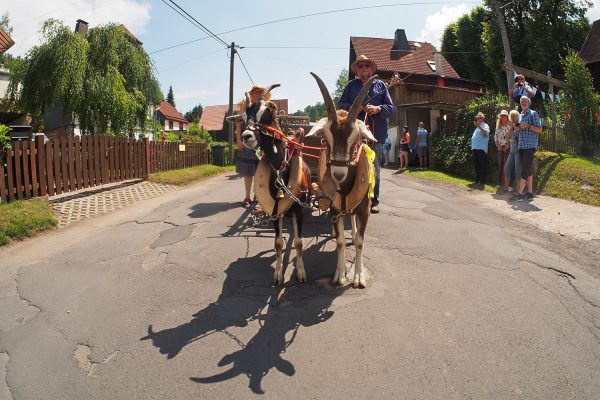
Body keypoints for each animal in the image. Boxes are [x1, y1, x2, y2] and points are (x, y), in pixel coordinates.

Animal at [225, 83, 310, 284]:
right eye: (243, 117)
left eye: (266, 113)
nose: (247, 136)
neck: (281, 170)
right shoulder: (276, 210)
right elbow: (278, 242)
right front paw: (278, 274)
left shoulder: (299, 210)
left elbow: (298, 241)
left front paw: (301, 272)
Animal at [308, 72, 378, 288]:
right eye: (325, 139)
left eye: (356, 139)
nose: (338, 174)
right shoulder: (334, 209)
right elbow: (339, 241)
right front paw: (339, 275)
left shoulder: (364, 210)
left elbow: (360, 241)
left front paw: (359, 277)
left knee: (354, 224)